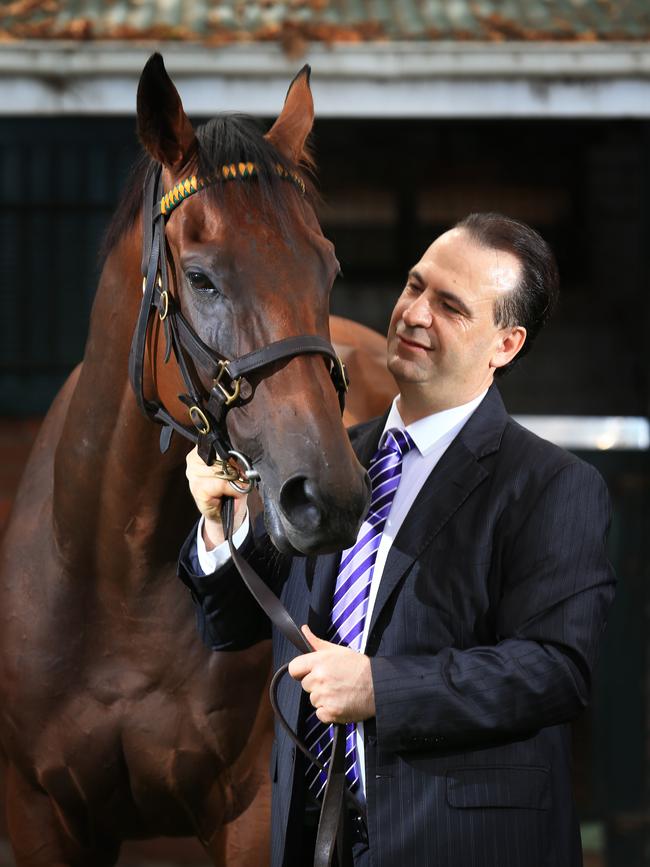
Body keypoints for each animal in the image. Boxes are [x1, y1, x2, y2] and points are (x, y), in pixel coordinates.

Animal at [0, 56, 392, 867]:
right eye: (204, 277)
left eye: (328, 268)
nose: (330, 497)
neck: (115, 583)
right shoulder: (41, 811)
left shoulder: (253, 815)